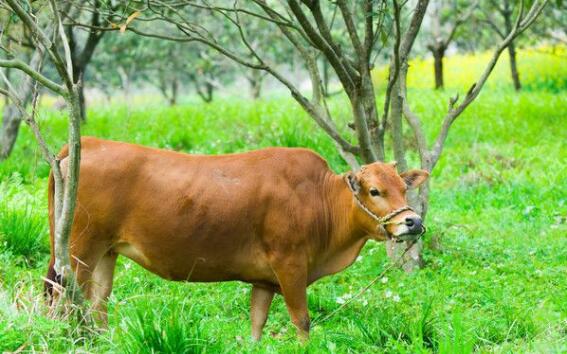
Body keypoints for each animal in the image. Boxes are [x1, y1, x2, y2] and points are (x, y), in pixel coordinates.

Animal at [44, 138, 428, 340]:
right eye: (375, 190)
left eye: (403, 185)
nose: (413, 221)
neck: (318, 198)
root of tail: (86, 143)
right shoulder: (290, 267)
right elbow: (302, 320)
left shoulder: (264, 281)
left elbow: (257, 323)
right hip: (78, 251)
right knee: (65, 302)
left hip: (106, 252)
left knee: (97, 301)